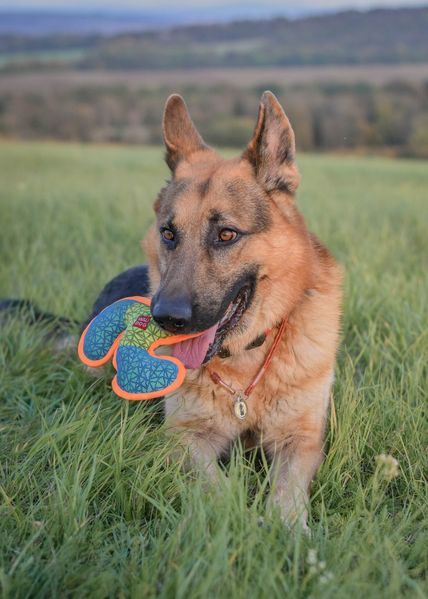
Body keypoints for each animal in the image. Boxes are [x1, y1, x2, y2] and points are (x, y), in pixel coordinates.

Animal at [2, 91, 342, 532]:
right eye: (168, 233)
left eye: (226, 234)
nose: (167, 318)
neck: (244, 369)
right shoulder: (186, 439)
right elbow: (219, 488)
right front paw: (239, 522)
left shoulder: (301, 440)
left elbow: (287, 493)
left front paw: (286, 531)